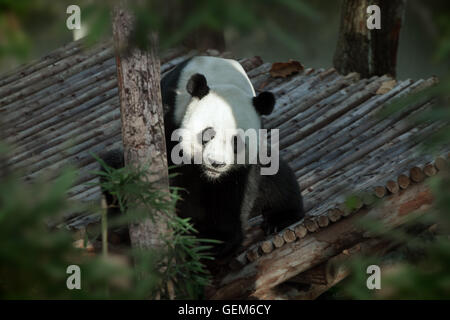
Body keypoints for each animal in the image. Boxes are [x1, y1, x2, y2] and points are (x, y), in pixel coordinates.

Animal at [101, 56, 304, 258]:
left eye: (236, 141)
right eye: (208, 134)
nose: (216, 163)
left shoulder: (244, 164)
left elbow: (234, 192)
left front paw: (218, 239)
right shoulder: (170, 123)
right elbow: (179, 184)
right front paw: (190, 232)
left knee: (279, 179)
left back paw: (280, 218)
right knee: (114, 170)